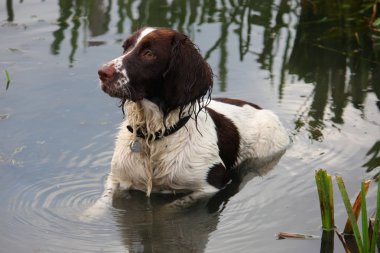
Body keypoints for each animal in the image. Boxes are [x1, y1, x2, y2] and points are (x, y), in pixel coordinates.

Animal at [85, 26, 288, 215]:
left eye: (149, 53)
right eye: (125, 47)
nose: (102, 72)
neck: (155, 136)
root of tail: (262, 109)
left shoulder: (211, 185)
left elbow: (169, 208)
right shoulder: (117, 176)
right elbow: (104, 199)